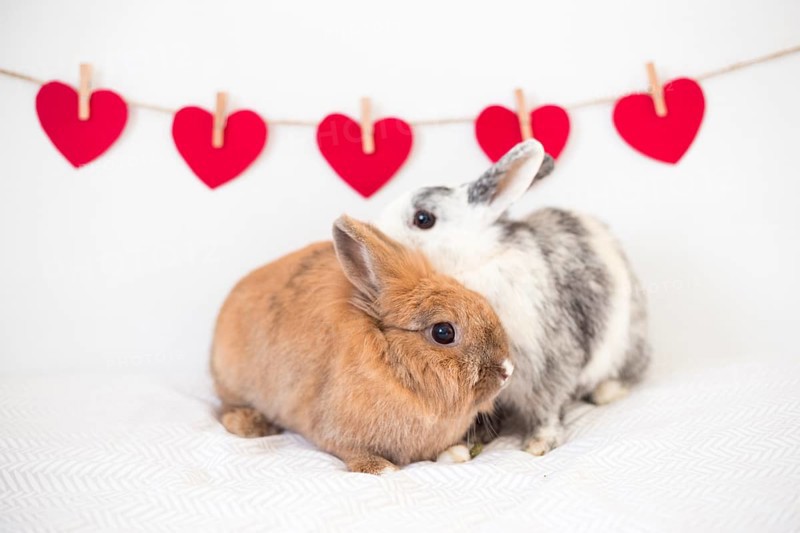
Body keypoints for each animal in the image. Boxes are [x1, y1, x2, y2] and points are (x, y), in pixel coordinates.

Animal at [210, 215, 514, 474]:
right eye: (443, 332)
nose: (507, 369)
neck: (393, 367)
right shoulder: (335, 430)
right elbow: (353, 452)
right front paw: (382, 468)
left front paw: (456, 454)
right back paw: (250, 425)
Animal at [375, 140, 650, 456]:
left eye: (423, 219)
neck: (475, 261)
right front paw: (464, 444)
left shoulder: (549, 360)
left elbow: (547, 406)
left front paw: (539, 444)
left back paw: (606, 392)